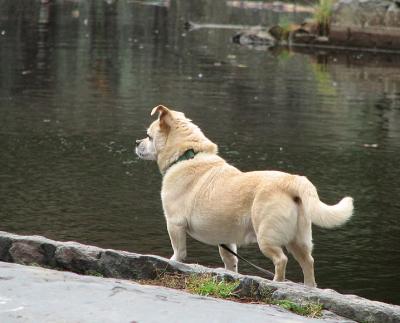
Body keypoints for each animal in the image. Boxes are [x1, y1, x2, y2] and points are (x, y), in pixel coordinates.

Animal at [137, 105, 354, 288]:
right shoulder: (226, 241)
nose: (137, 142)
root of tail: (292, 181)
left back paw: (277, 282)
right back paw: (309, 287)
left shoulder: (174, 224)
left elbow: (179, 252)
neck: (188, 155)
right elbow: (230, 261)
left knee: (281, 260)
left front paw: (173, 262)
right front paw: (231, 275)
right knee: (308, 262)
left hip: (266, 237)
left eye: (148, 136)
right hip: (299, 241)